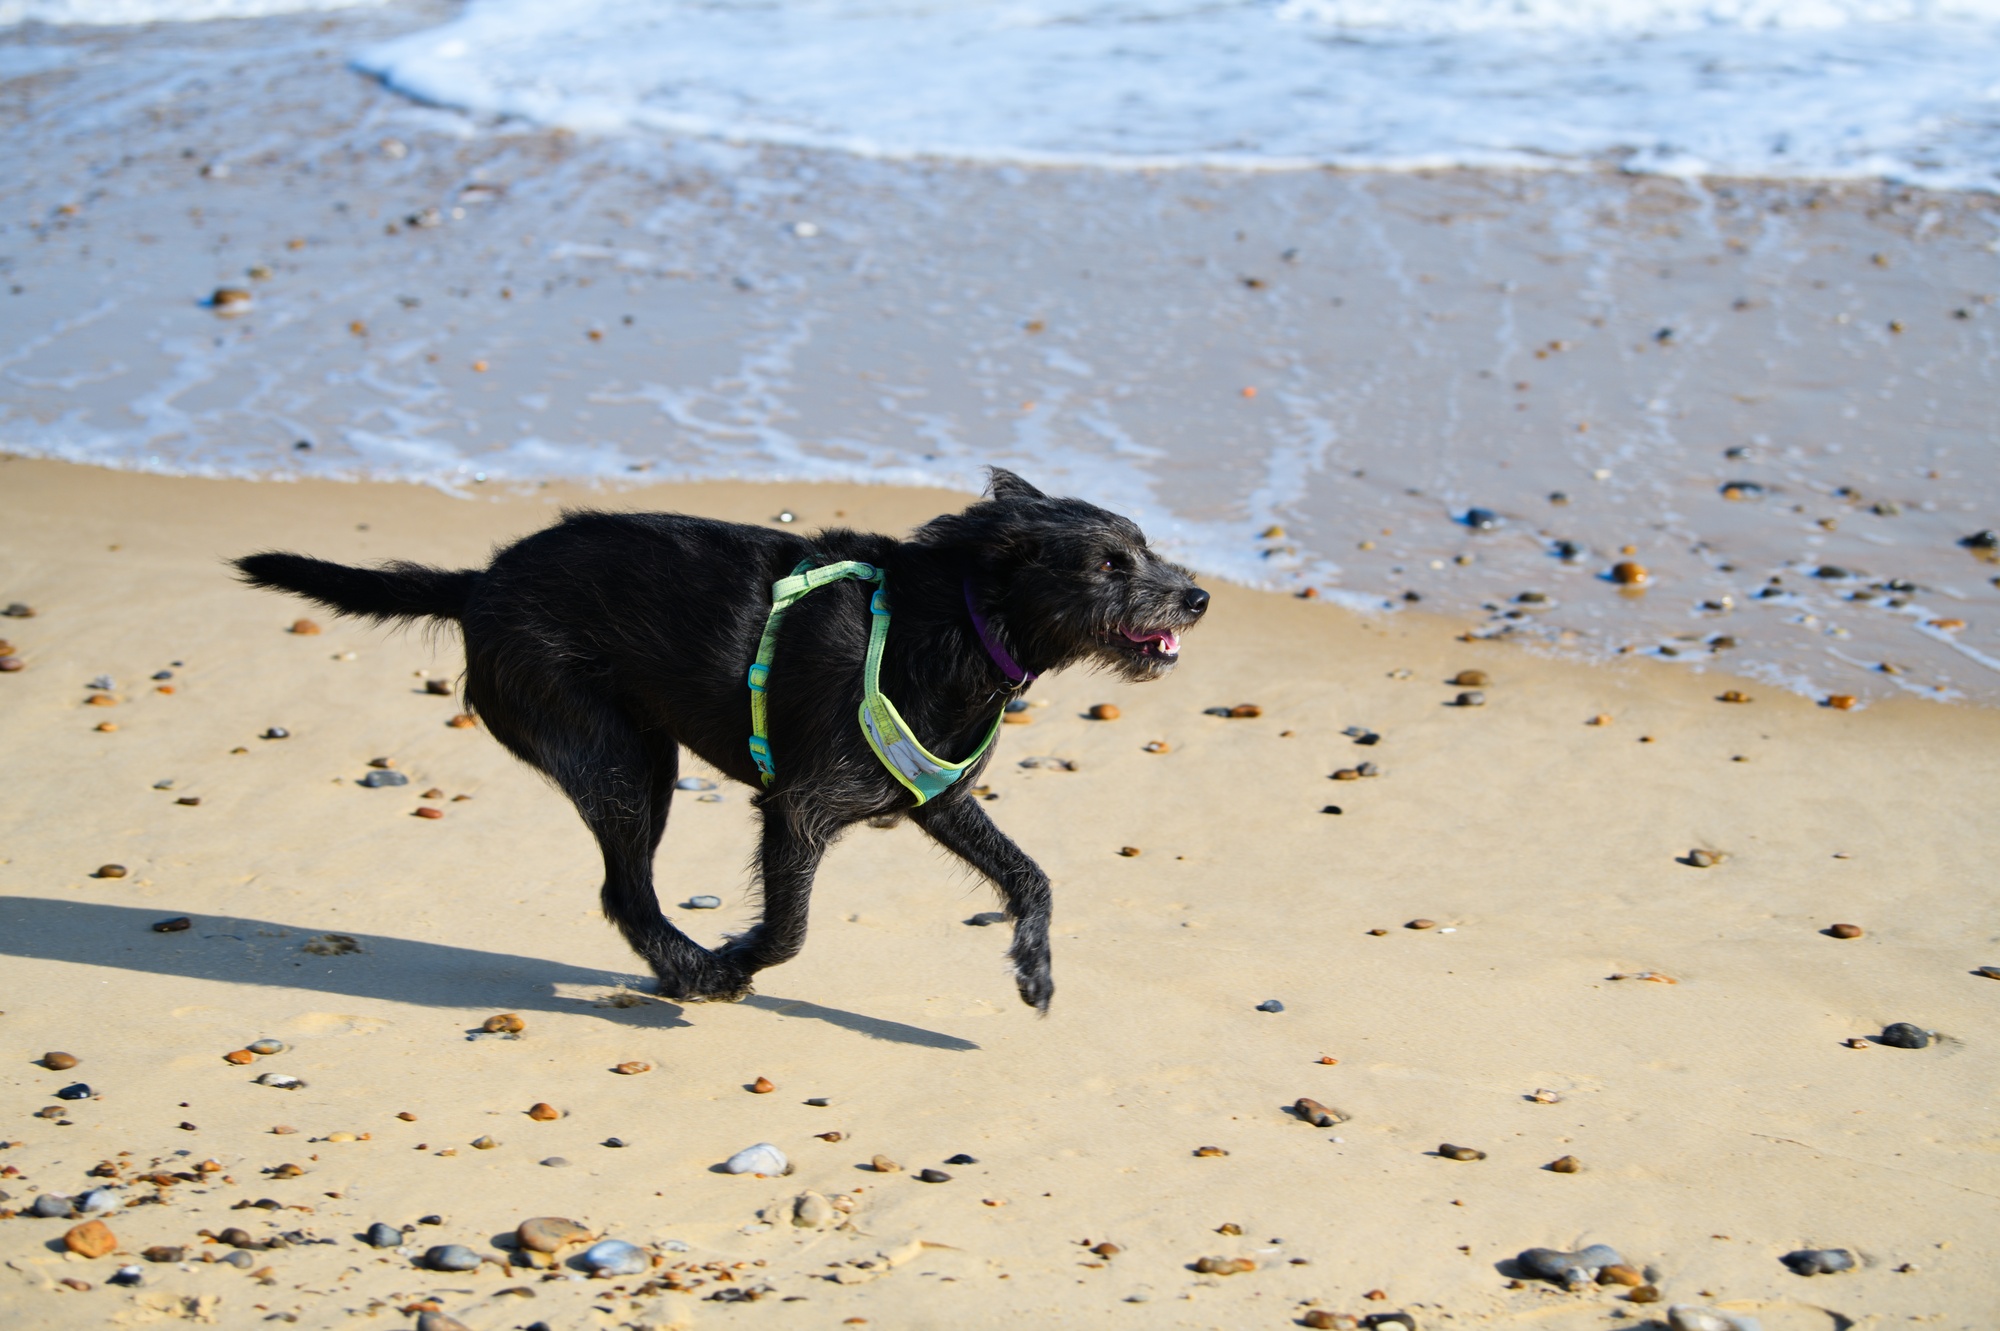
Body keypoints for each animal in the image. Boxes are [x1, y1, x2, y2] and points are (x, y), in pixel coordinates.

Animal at [233, 469, 1207, 1011]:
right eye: (1109, 564)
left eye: (1145, 547)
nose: (1198, 597)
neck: (959, 623)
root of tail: (478, 583)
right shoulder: (800, 809)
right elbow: (788, 928)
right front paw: (735, 958)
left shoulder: (936, 795)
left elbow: (1029, 875)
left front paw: (1034, 967)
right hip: (620, 761)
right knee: (624, 892)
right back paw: (693, 970)